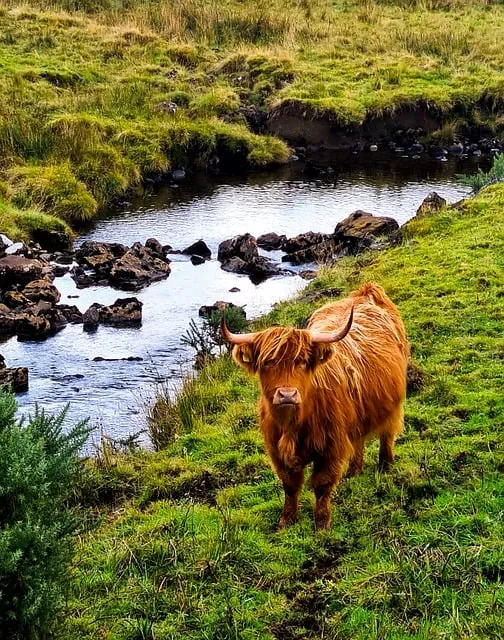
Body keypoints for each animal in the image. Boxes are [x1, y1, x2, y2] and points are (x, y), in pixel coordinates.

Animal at [221, 282, 409, 530]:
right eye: (268, 362)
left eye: (301, 362)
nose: (287, 394)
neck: (294, 424)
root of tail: (367, 293)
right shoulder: (277, 451)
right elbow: (290, 486)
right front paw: (286, 521)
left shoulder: (331, 447)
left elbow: (322, 484)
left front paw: (321, 524)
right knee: (358, 439)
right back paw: (354, 471)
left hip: (392, 404)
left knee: (387, 433)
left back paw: (385, 464)